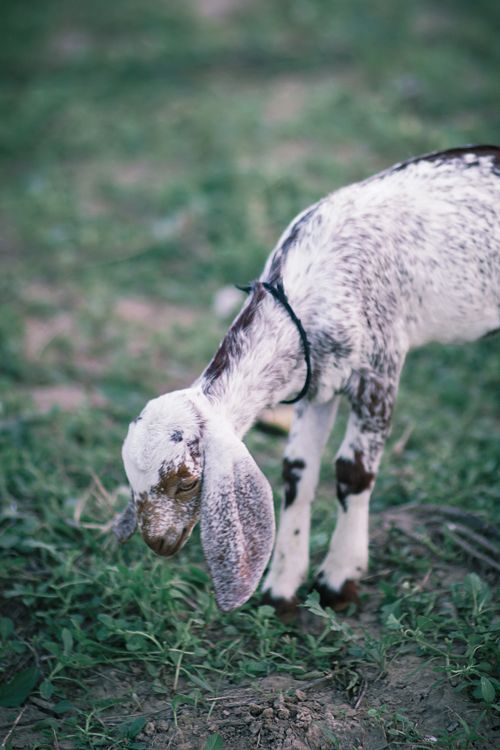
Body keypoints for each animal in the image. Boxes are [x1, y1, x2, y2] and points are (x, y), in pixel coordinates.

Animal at [117, 146, 500, 614]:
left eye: (187, 481)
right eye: (130, 476)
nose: (159, 544)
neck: (307, 283)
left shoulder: (381, 368)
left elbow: (353, 472)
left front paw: (338, 581)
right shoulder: (315, 379)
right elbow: (297, 471)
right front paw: (282, 586)